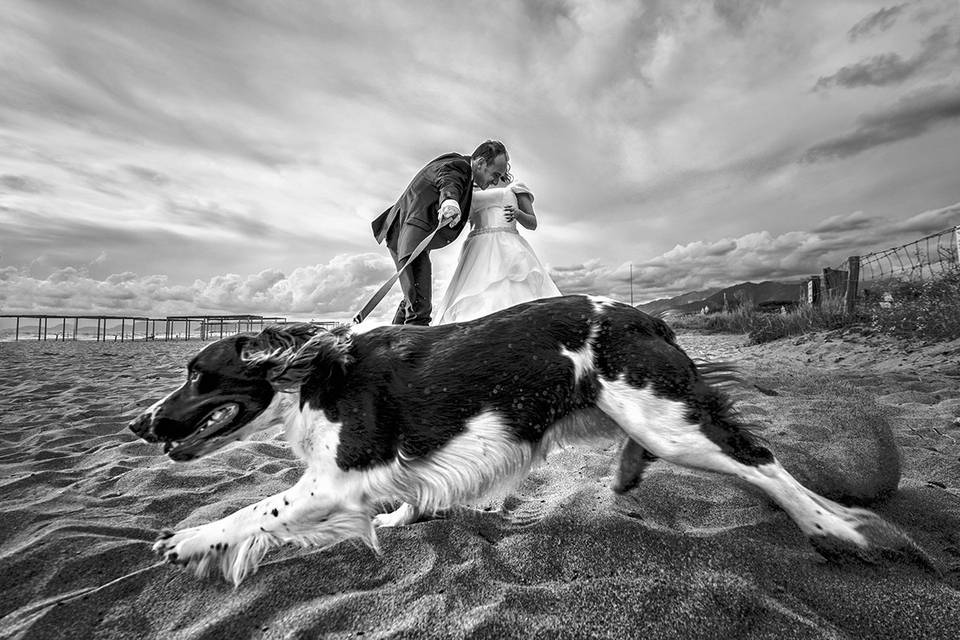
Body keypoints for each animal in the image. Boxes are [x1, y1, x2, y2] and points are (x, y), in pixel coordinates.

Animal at [127, 296, 924, 584]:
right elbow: (402, 498)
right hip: (628, 416)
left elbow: (249, 512)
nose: (137, 424)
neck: (313, 373)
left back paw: (838, 531)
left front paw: (187, 542)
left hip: (666, 420)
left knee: (761, 462)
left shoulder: (337, 478)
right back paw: (627, 477)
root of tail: (651, 317)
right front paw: (404, 516)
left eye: (197, 374)